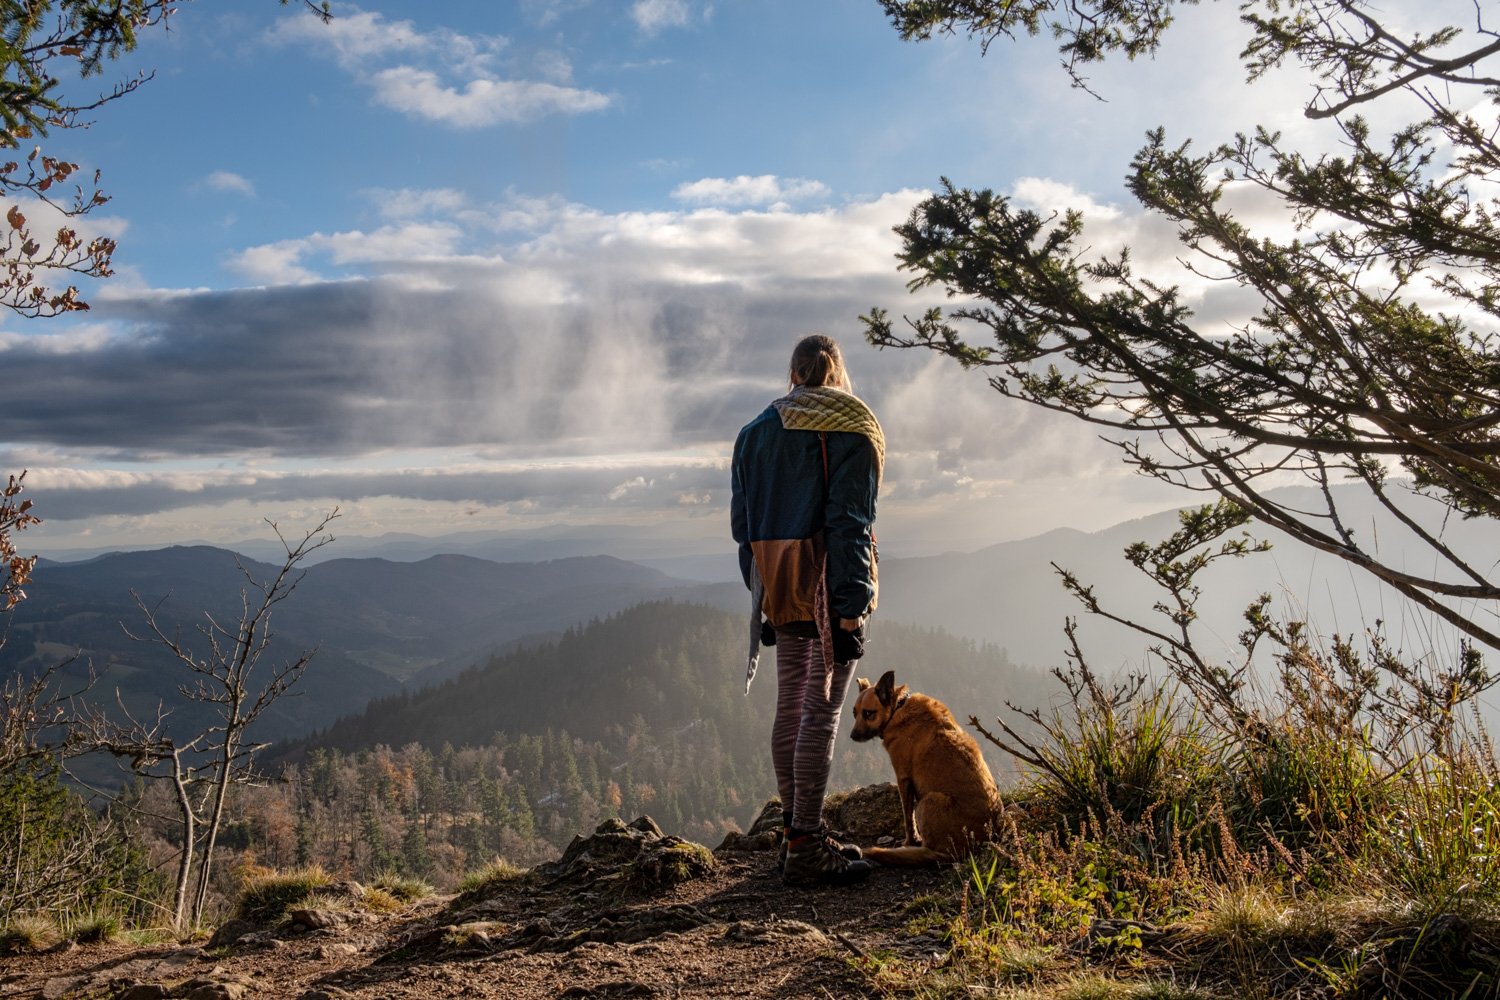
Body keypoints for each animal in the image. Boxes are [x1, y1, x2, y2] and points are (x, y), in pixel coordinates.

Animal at [852, 671, 1002, 869]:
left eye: (868, 713)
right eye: (854, 714)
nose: (852, 736)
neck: (897, 709)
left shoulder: (903, 778)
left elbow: (908, 819)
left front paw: (909, 841)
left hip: (929, 800)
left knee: (929, 851)